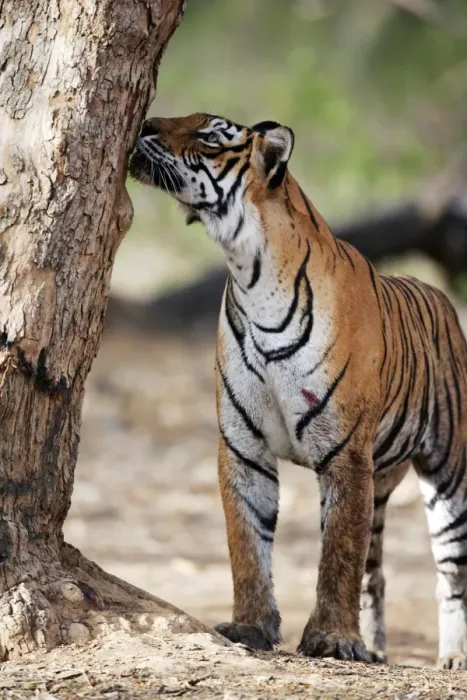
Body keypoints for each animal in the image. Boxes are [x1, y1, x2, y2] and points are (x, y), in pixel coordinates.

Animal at [129, 112, 467, 669]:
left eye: (209, 135)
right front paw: (250, 627)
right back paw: (376, 650)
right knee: (376, 569)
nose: (145, 123)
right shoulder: (243, 447)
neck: (250, 273)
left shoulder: (346, 454)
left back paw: (454, 656)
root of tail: (438, 294)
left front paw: (330, 639)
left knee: (451, 569)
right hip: (381, 476)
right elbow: (247, 542)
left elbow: (338, 555)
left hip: (448, 473)